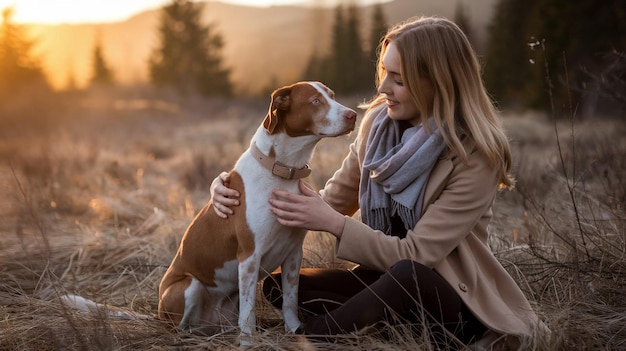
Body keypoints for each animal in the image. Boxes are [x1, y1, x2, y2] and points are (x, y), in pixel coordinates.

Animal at [155, 81, 354, 346]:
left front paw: (295, 330)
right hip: (189, 286)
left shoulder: (294, 254)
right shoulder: (249, 256)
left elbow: (290, 300)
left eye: (332, 96)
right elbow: (249, 312)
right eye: (315, 101)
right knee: (182, 325)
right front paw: (248, 342)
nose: (353, 115)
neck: (282, 172)